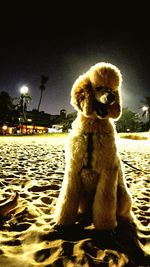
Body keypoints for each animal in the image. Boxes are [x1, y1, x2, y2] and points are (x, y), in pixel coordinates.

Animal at [54, 62, 134, 230]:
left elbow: (105, 202)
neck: (93, 129)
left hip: (123, 194)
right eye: (98, 87)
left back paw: (127, 219)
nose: (111, 97)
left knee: (124, 211)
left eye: (112, 90)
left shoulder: (107, 173)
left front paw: (106, 227)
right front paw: (62, 222)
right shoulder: (73, 169)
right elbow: (67, 198)